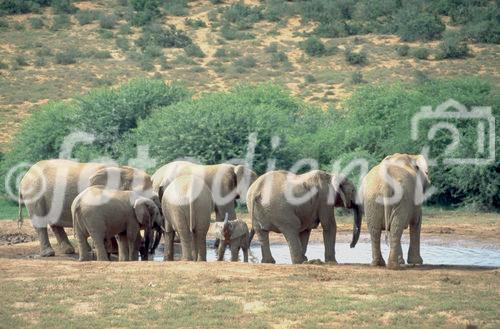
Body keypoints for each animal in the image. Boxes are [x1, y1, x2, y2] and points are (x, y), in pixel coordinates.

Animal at [18, 160, 152, 258]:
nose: (145, 249)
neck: (123, 169)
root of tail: (25, 175)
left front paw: (113, 251)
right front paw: (112, 251)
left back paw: (70, 251)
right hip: (34, 192)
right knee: (40, 221)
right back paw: (49, 254)